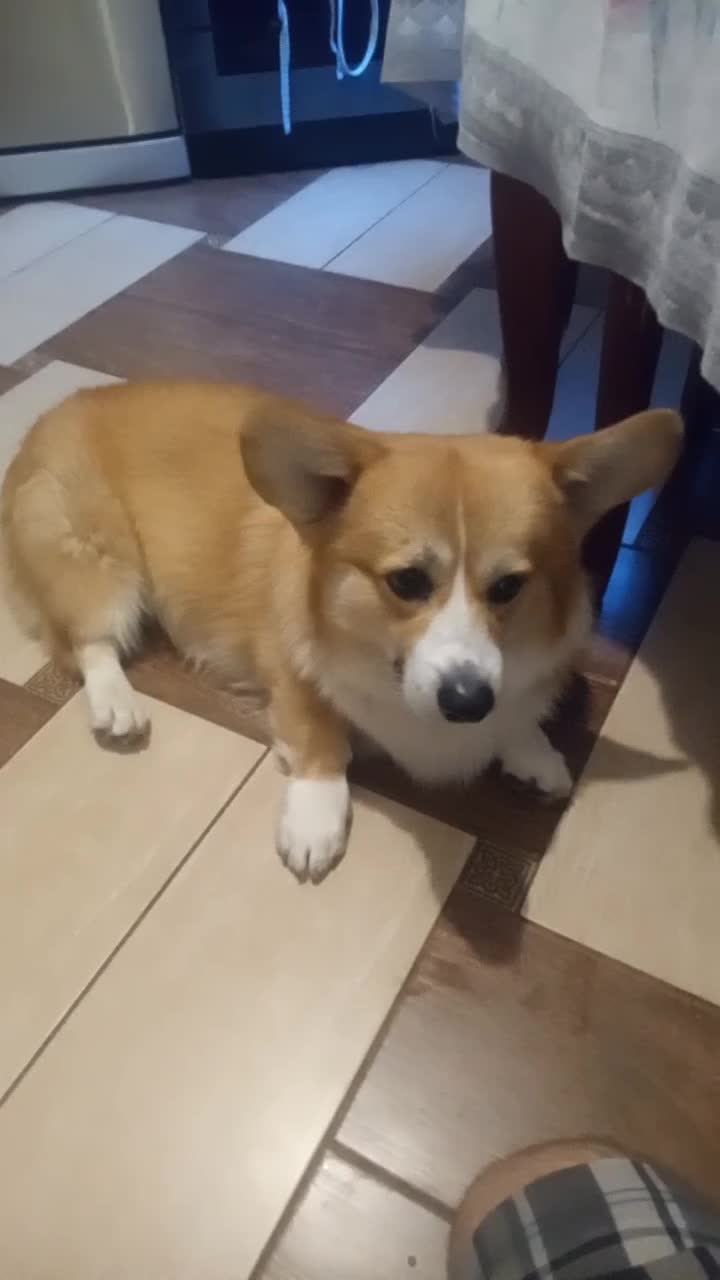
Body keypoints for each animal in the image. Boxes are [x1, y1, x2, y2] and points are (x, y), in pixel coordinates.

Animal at [1, 380, 682, 879]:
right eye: (407, 581)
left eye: (510, 587)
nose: (467, 702)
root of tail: (54, 412)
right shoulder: (289, 667)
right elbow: (323, 736)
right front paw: (315, 821)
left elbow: (517, 714)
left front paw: (532, 749)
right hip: (98, 565)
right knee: (88, 641)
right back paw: (117, 704)